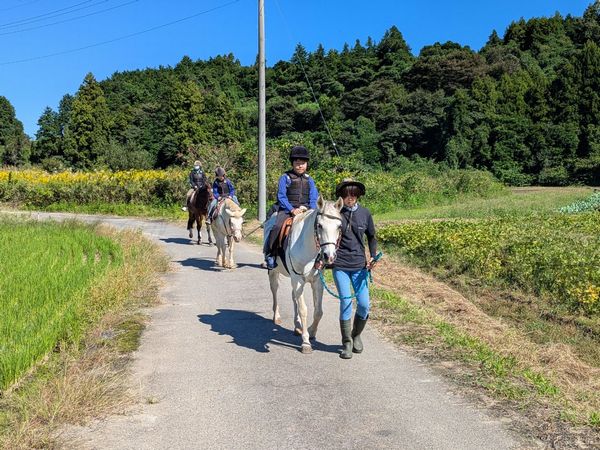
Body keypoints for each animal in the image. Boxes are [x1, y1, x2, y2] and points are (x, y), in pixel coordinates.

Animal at [268, 195, 342, 354]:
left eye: (339, 227)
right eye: (319, 225)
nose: (329, 256)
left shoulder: (317, 281)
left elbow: (318, 311)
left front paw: (311, 332)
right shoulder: (298, 280)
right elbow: (303, 310)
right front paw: (306, 342)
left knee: (293, 297)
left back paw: (297, 326)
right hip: (274, 273)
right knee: (275, 291)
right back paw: (277, 316)